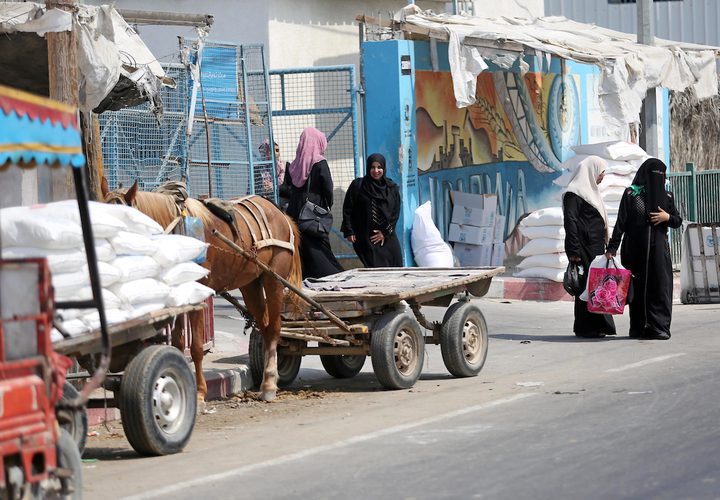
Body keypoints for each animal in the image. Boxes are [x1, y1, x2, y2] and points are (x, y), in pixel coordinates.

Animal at [101, 178, 300, 404]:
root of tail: (280, 214)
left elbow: (196, 347)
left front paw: (200, 392)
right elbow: (178, 344)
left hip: (274, 279)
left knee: (274, 328)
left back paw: (269, 385)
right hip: (251, 283)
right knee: (264, 328)